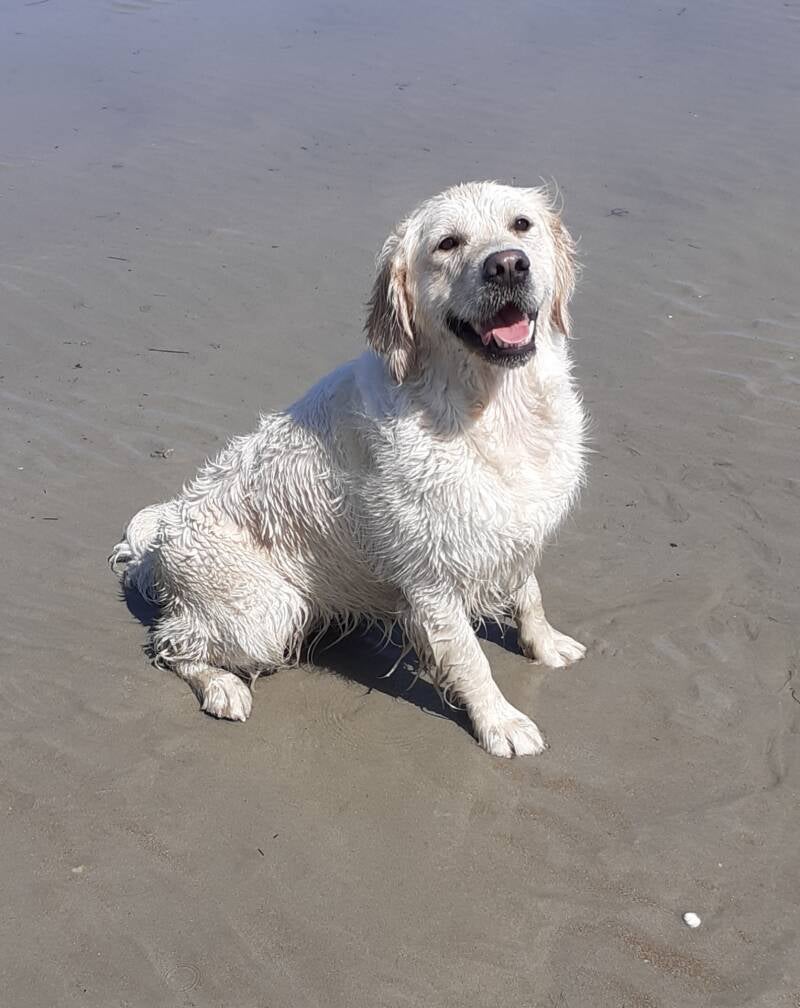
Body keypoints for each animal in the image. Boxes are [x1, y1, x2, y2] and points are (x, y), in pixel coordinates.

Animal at [110, 181, 587, 757]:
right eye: (448, 243)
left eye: (522, 225)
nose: (508, 265)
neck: (496, 410)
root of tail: (157, 543)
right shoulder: (431, 579)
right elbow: (471, 658)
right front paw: (501, 723)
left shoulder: (513, 525)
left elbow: (529, 595)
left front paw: (548, 646)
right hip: (265, 609)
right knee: (172, 643)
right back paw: (224, 688)